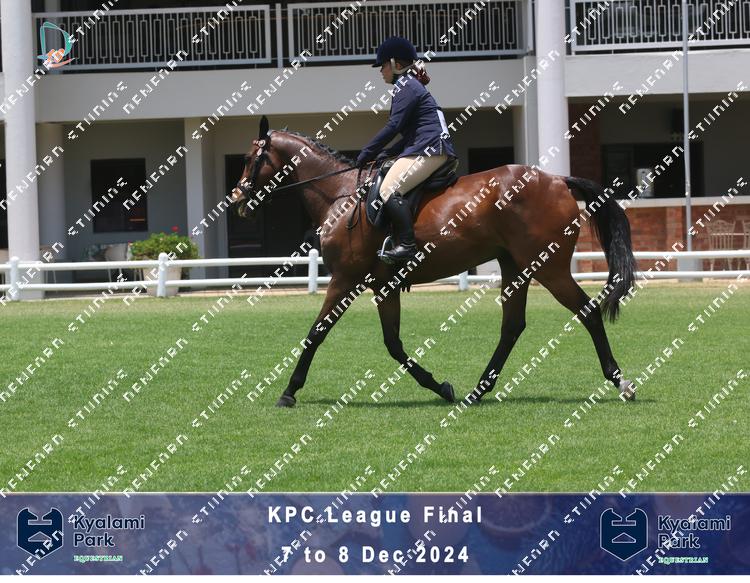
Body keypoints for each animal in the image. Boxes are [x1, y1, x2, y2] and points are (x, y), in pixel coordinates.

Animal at [230, 116, 638, 408]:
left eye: (250, 159)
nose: (237, 202)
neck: (339, 195)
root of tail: (557, 181)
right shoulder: (384, 286)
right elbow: (393, 344)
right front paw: (440, 386)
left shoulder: (345, 279)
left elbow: (316, 333)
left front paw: (289, 391)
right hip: (515, 267)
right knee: (512, 326)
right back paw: (477, 392)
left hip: (548, 267)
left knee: (587, 312)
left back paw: (621, 382)